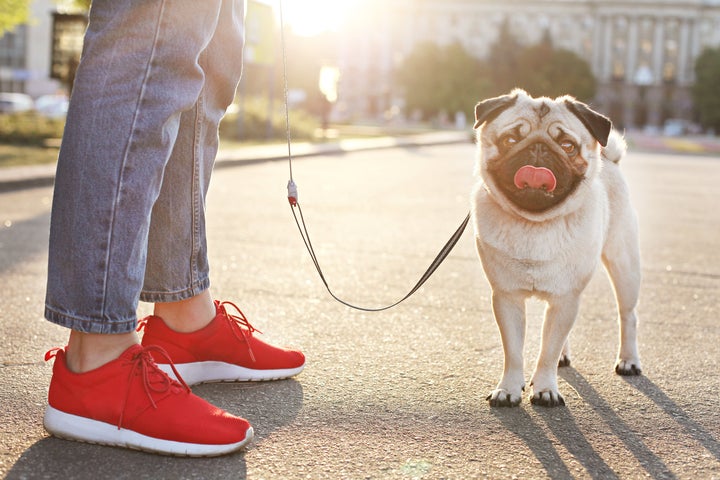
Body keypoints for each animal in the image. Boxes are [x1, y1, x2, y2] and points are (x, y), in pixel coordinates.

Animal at [472, 88, 640, 406]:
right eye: (510, 140)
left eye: (567, 146)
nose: (538, 149)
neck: (536, 223)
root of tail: (611, 161)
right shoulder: (507, 297)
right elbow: (514, 351)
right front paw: (509, 388)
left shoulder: (566, 297)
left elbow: (547, 351)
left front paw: (545, 389)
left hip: (624, 267)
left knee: (627, 315)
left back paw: (628, 360)